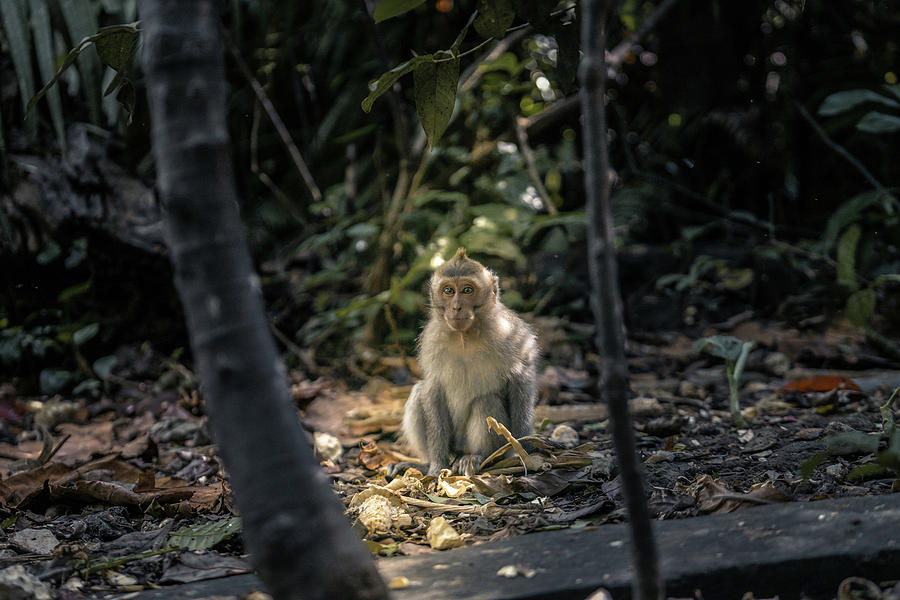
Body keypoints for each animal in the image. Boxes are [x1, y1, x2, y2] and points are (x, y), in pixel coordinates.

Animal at [400, 246, 536, 476]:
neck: (465, 337)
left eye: (467, 290)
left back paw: (477, 457)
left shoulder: (510, 334)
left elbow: (521, 381)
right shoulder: (431, 341)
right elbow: (433, 388)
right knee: (419, 392)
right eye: (448, 291)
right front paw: (437, 465)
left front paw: (522, 450)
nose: (456, 307)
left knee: (486, 401)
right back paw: (431, 462)